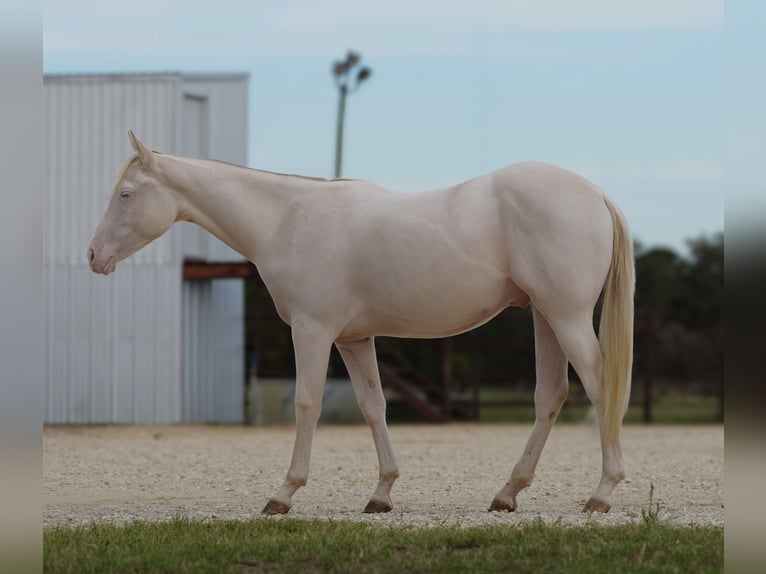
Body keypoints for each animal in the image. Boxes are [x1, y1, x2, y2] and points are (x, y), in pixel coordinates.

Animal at [88, 131, 634, 515]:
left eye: (126, 194)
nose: (94, 256)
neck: (286, 219)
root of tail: (595, 194)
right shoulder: (354, 339)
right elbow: (374, 407)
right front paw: (382, 494)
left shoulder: (311, 331)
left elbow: (307, 404)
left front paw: (284, 493)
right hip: (544, 316)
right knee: (550, 396)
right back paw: (507, 493)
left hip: (565, 315)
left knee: (599, 386)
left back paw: (602, 493)